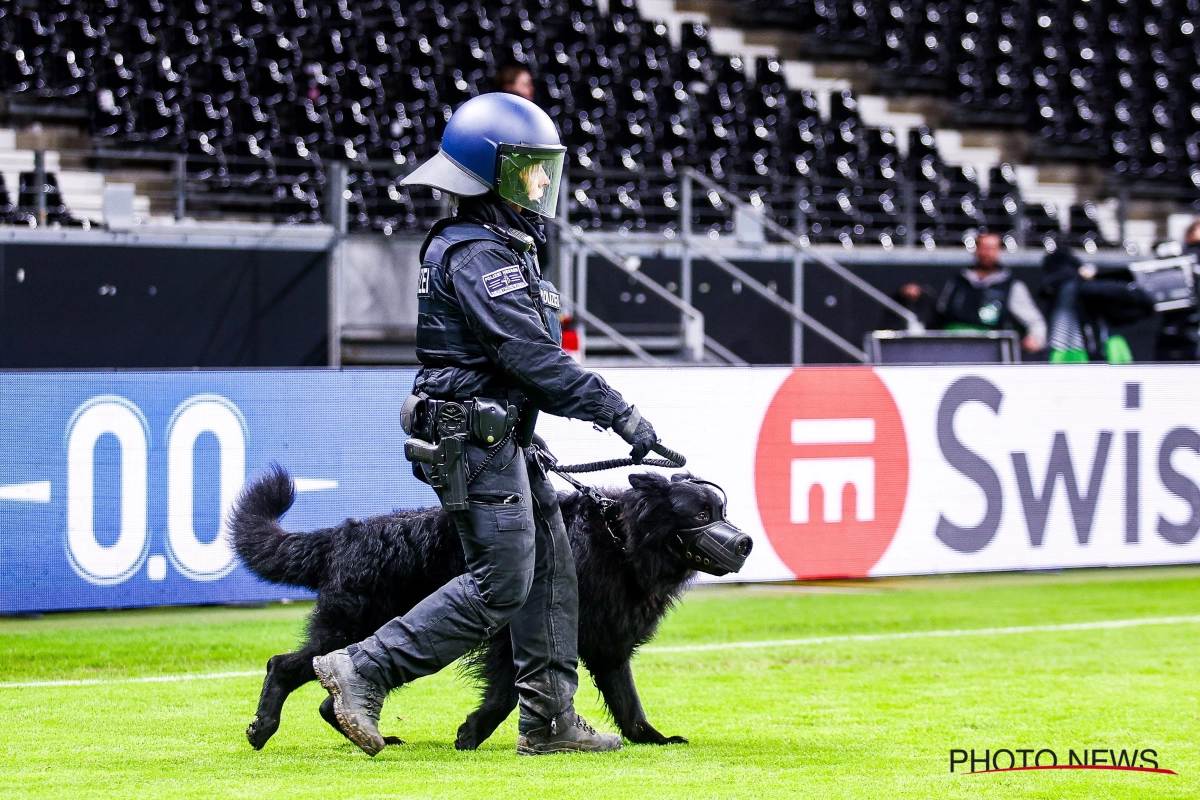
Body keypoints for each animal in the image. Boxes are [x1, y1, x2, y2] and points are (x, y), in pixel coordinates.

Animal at [228, 460, 744, 753]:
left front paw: (653, 739)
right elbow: (507, 695)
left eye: (722, 512)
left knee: (326, 693)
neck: (619, 540)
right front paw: (472, 733)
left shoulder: (608, 646)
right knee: (285, 665)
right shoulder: (509, 639)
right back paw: (264, 727)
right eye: (701, 514)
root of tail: (340, 535)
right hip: (351, 629)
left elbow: (628, 702)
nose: (746, 543)